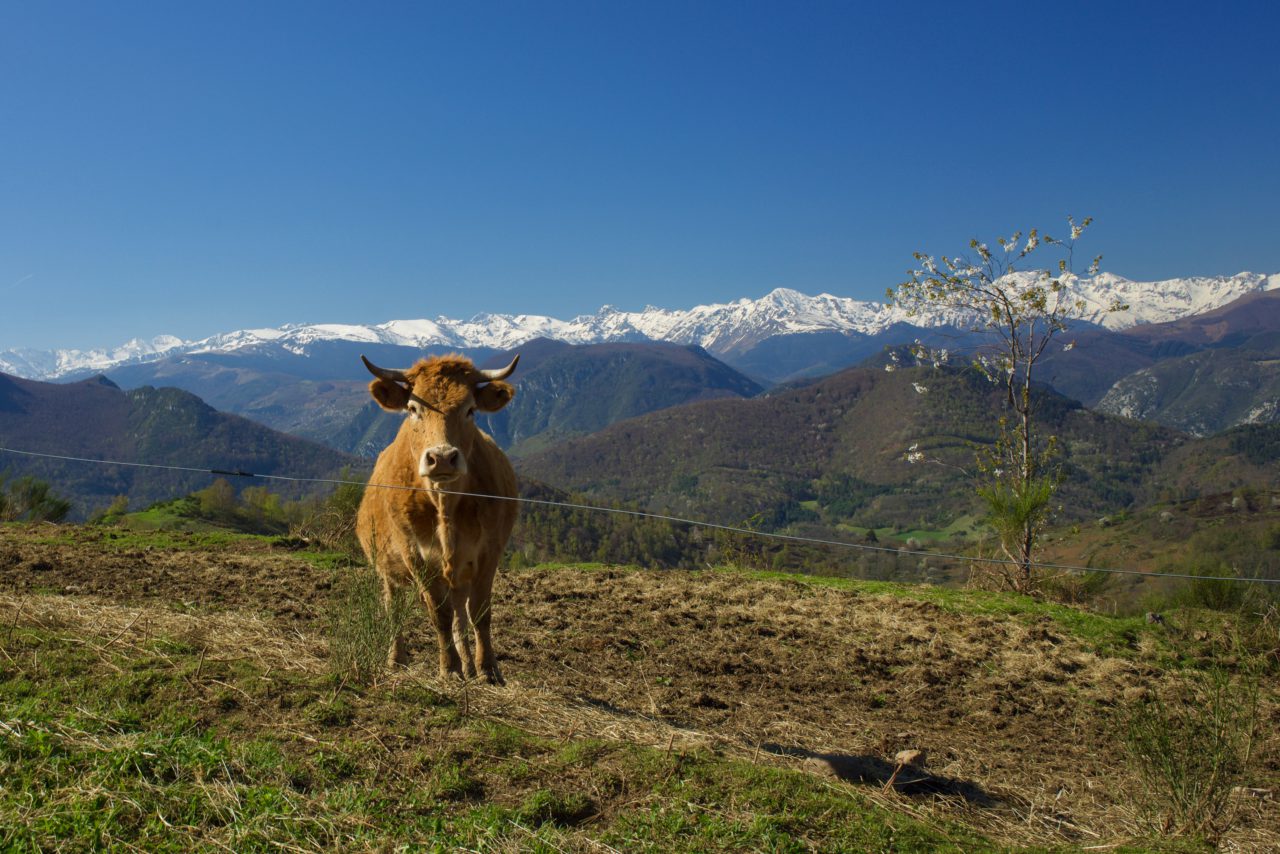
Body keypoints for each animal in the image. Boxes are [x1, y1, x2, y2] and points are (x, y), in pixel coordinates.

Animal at [355, 350, 519, 686]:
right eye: (413, 408)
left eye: (470, 410)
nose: (442, 457)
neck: (445, 506)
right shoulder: (414, 553)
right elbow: (439, 613)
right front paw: (449, 668)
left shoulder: (489, 551)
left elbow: (479, 613)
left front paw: (487, 670)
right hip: (386, 567)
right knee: (394, 608)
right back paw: (397, 658)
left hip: (459, 573)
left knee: (461, 614)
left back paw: (469, 664)